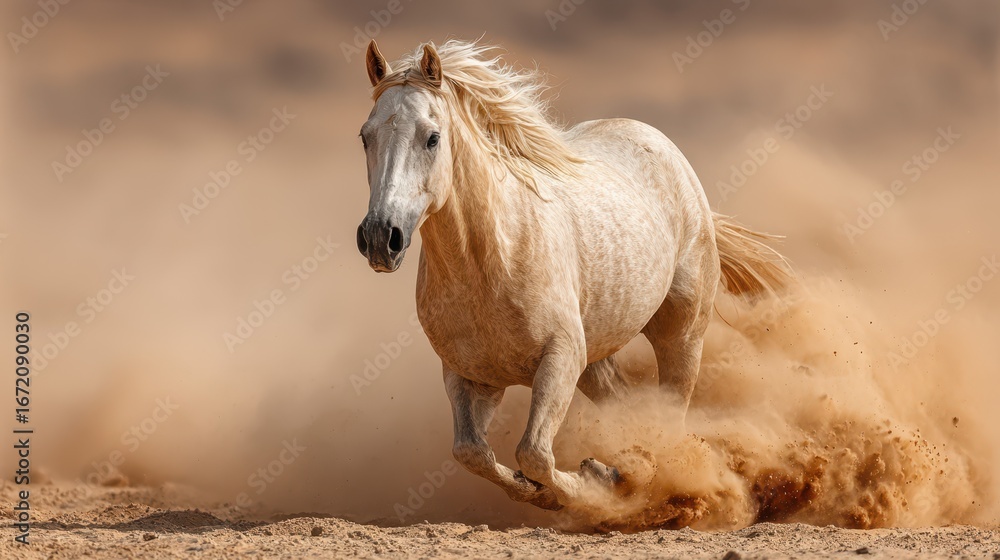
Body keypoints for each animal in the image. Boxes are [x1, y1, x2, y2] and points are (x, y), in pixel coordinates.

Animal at [354, 39, 791, 510]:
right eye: (365, 136)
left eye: (432, 137)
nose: (380, 237)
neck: (489, 263)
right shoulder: (470, 376)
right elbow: (472, 452)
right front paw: (556, 488)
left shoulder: (560, 357)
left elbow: (533, 453)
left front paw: (584, 484)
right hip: (595, 361)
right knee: (630, 409)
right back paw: (626, 470)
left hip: (681, 333)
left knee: (670, 421)